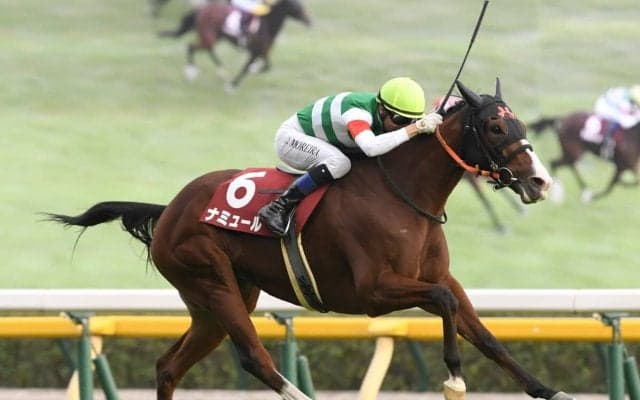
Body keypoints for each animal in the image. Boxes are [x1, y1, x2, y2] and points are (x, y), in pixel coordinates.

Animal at [47, 79, 572, 400]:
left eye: (522, 123)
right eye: (496, 125)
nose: (540, 181)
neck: (403, 194)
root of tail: (171, 208)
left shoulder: (439, 277)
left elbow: (486, 334)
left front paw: (547, 389)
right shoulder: (372, 292)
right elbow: (443, 303)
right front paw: (455, 378)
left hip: (215, 301)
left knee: (168, 365)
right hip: (211, 282)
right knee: (254, 358)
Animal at [158, 0, 311, 90]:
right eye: (296, 6)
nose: (310, 21)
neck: (267, 23)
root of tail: (202, 9)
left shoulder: (260, 52)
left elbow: (262, 66)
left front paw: (238, 80)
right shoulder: (255, 51)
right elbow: (250, 67)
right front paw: (232, 85)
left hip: (213, 37)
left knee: (204, 49)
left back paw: (220, 72)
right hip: (209, 36)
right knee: (192, 47)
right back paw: (192, 73)